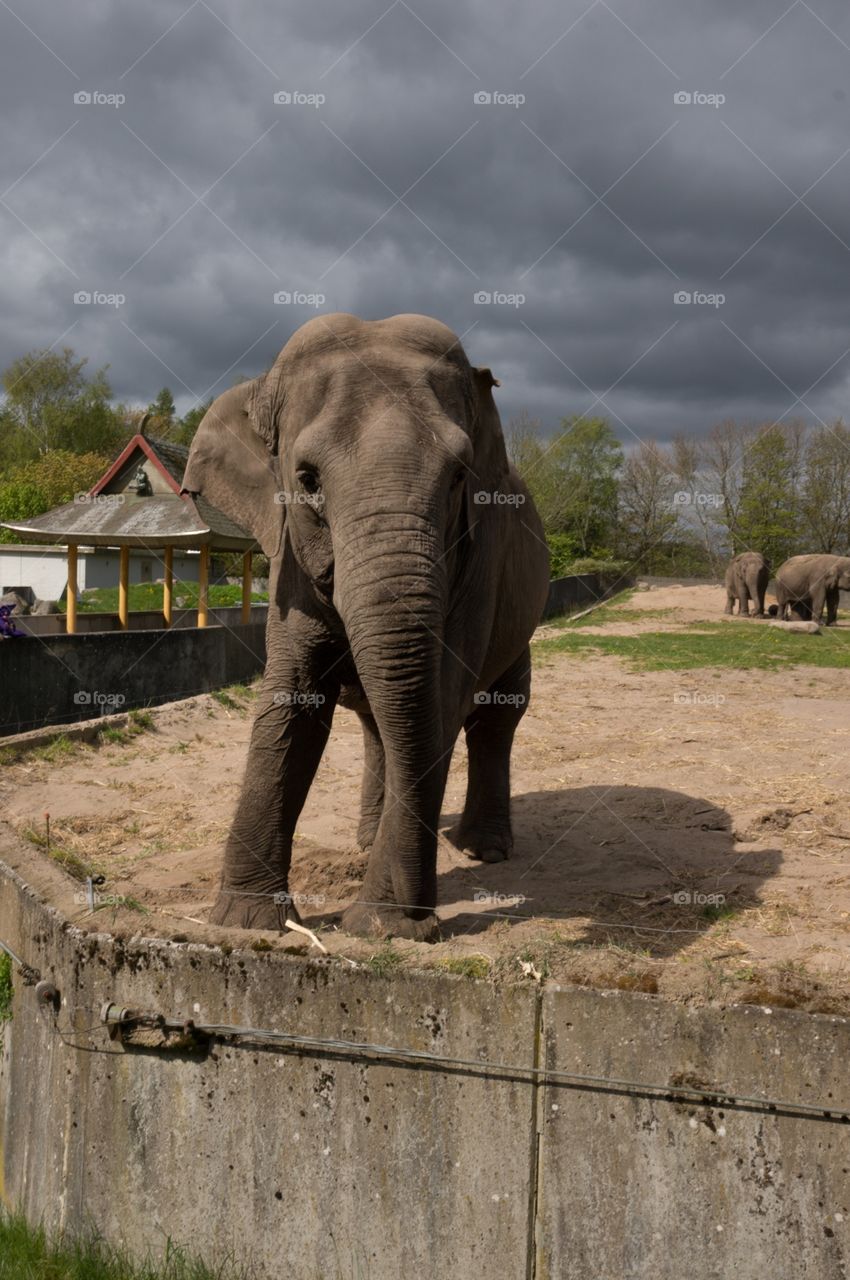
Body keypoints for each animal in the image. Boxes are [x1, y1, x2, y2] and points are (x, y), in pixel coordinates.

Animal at [181, 313, 550, 940]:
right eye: (307, 479)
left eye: (459, 476)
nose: (420, 917)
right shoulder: (287, 560)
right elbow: (292, 701)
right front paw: (246, 923)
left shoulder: (483, 556)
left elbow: (444, 698)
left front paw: (379, 928)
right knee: (385, 725)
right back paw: (365, 842)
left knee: (494, 716)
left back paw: (480, 851)